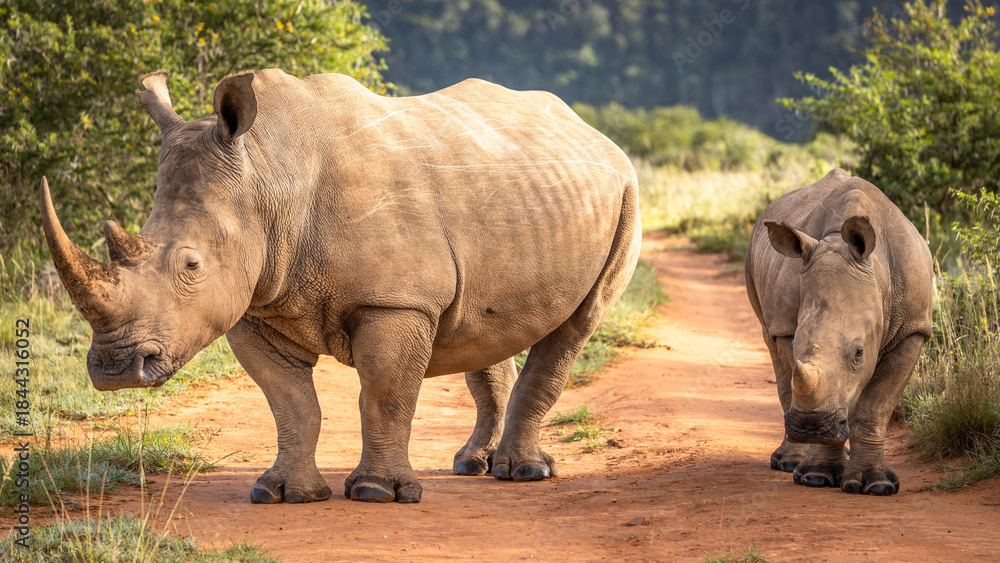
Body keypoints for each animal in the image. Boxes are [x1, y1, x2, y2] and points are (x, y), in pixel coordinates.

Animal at [40, 69, 641, 504]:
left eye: (191, 266)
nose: (115, 370)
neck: (267, 177)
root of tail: (595, 133)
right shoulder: (256, 304)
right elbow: (290, 403)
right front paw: (282, 494)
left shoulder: (395, 301)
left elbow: (384, 395)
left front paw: (377, 493)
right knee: (487, 326)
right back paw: (472, 465)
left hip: (626, 191)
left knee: (576, 326)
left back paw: (524, 474)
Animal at [745, 168, 933, 495]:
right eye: (797, 345)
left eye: (859, 353)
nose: (811, 427)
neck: (878, 277)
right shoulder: (787, 327)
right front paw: (816, 477)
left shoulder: (913, 329)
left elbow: (876, 405)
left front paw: (878, 486)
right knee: (775, 354)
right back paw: (790, 463)